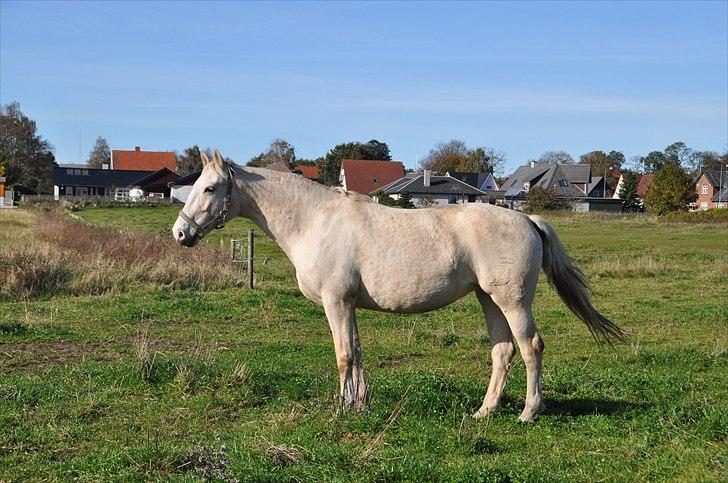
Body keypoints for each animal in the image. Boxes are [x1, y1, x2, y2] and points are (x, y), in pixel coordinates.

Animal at [171, 149, 620, 422]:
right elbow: (356, 354)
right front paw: (360, 404)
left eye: (209, 188)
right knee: (502, 351)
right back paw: (485, 411)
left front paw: (341, 410)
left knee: (530, 347)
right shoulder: (348, 305)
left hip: (512, 301)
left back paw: (529, 412)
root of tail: (527, 219)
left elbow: (343, 357)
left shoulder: (336, 302)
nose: (180, 233)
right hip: (488, 299)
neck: (314, 220)